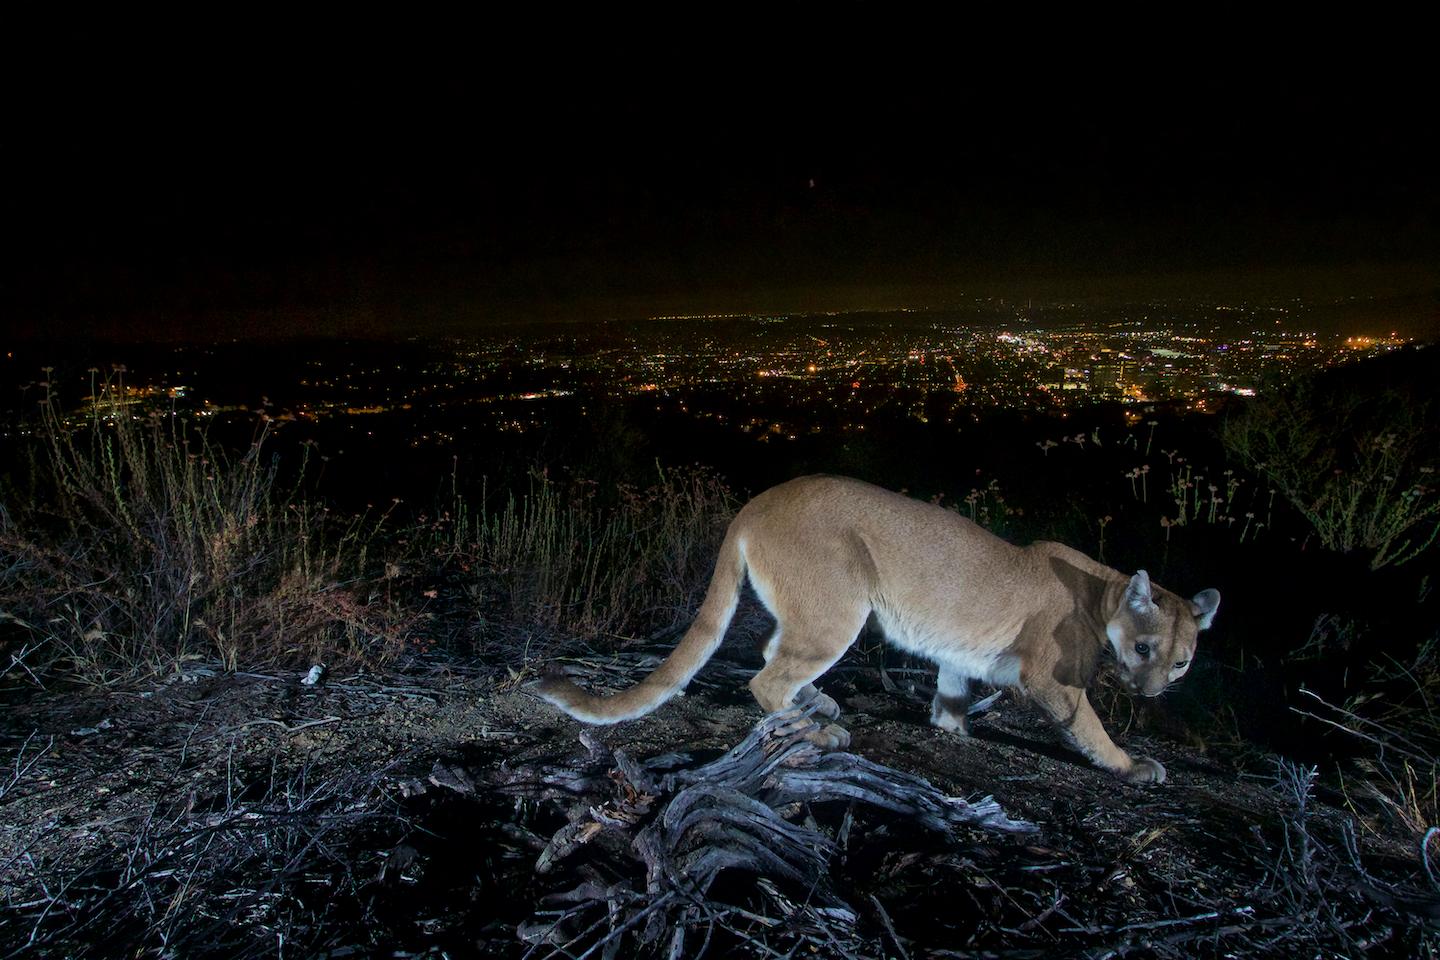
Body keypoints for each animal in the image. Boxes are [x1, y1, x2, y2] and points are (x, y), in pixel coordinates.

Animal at [538, 477, 1215, 782]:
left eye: (1182, 661)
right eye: (1145, 648)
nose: (1153, 691)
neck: (1103, 592)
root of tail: (755, 502)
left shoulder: (959, 654)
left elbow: (951, 691)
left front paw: (951, 728)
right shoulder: (1054, 680)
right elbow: (1089, 725)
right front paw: (1131, 765)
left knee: (771, 650)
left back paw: (820, 704)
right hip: (841, 608)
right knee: (767, 676)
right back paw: (818, 728)